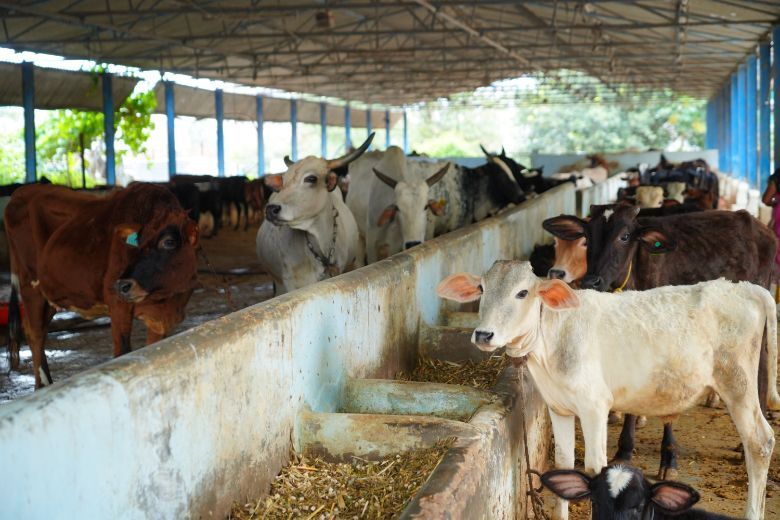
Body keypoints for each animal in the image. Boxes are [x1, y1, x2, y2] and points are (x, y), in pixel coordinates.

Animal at [4, 183, 200, 389]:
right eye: (137, 243)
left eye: (168, 242)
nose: (123, 285)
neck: (166, 301)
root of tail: (21, 192)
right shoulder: (117, 304)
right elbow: (123, 351)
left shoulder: (160, 319)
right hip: (30, 285)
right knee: (35, 333)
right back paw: (43, 384)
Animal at [543, 206, 778, 483]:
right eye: (588, 237)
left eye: (624, 236)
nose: (592, 281)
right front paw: (625, 450)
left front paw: (669, 459)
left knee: (761, 369)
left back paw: (745, 444)